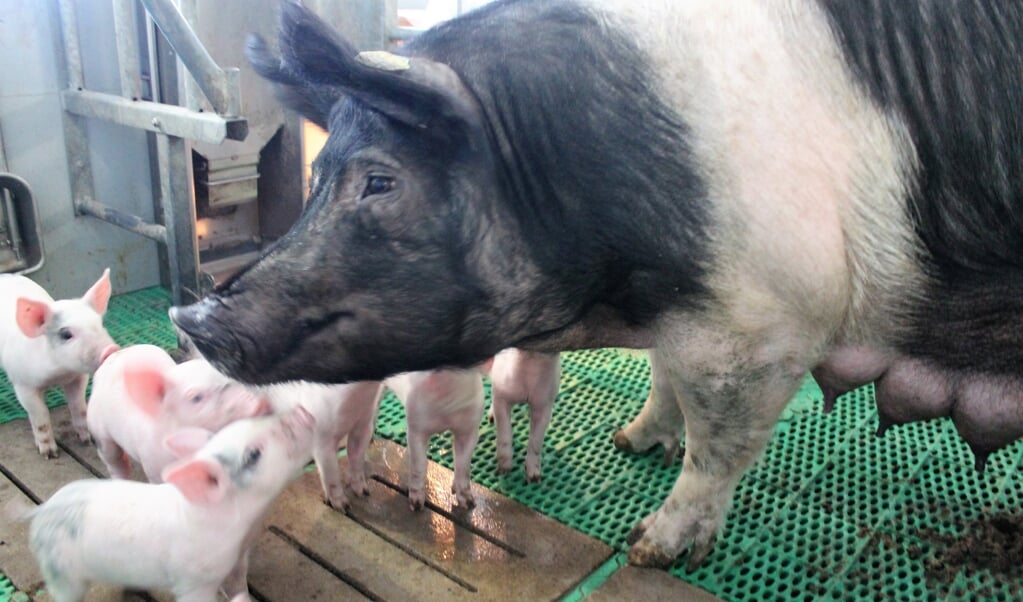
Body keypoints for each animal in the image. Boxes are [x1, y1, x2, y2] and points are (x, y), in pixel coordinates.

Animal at [171, 1, 1023, 569]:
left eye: (379, 182)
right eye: (315, 177)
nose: (191, 316)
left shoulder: (761, 323)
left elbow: (718, 442)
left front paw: (651, 547)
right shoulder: (685, 316)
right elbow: (665, 381)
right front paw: (629, 440)